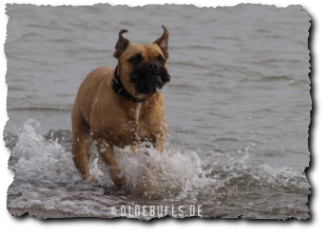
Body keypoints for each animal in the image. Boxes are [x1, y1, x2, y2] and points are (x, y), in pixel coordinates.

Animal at [71, 25, 171, 188]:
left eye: (161, 59)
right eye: (135, 59)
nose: (153, 65)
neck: (137, 100)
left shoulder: (158, 136)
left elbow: (153, 161)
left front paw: (149, 178)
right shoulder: (102, 139)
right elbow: (115, 168)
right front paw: (123, 182)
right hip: (79, 143)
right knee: (84, 164)